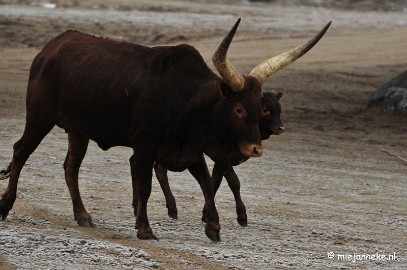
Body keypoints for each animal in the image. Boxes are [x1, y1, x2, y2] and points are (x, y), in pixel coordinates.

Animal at [0, 19, 332, 243]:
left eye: (259, 106)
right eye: (240, 109)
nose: (255, 149)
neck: (186, 100)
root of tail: (53, 45)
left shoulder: (192, 150)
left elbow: (207, 184)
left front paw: (213, 226)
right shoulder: (145, 148)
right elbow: (146, 186)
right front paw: (144, 229)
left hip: (79, 130)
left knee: (70, 167)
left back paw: (83, 216)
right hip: (39, 118)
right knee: (20, 153)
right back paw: (5, 205)